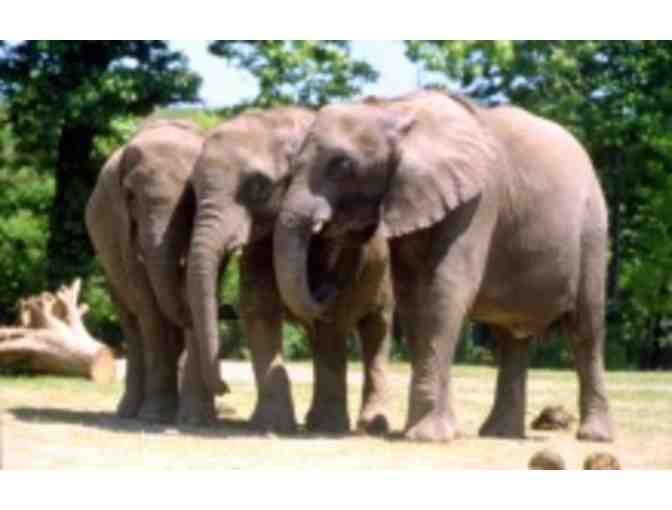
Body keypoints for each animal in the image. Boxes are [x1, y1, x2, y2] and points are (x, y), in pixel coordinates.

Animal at [86, 119, 219, 424]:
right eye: (131, 196)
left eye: (192, 196)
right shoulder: (122, 226)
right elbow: (149, 308)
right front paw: (155, 416)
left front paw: (195, 418)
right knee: (132, 321)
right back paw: (130, 412)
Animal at [187, 106, 394, 434]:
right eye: (193, 189)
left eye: (258, 186)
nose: (225, 388)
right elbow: (258, 310)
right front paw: (270, 425)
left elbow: (332, 322)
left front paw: (326, 427)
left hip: (384, 276)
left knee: (377, 329)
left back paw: (366, 426)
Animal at [273, 90, 615, 443]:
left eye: (342, 165)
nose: (326, 289)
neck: (395, 109)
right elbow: (413, 298)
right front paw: (431, 430)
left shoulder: (479, 200)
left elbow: (446, 288)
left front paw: (426, 436)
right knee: (512, 340)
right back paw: (499, 434)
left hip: (592, 230)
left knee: (586, 330)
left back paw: (594, 437)